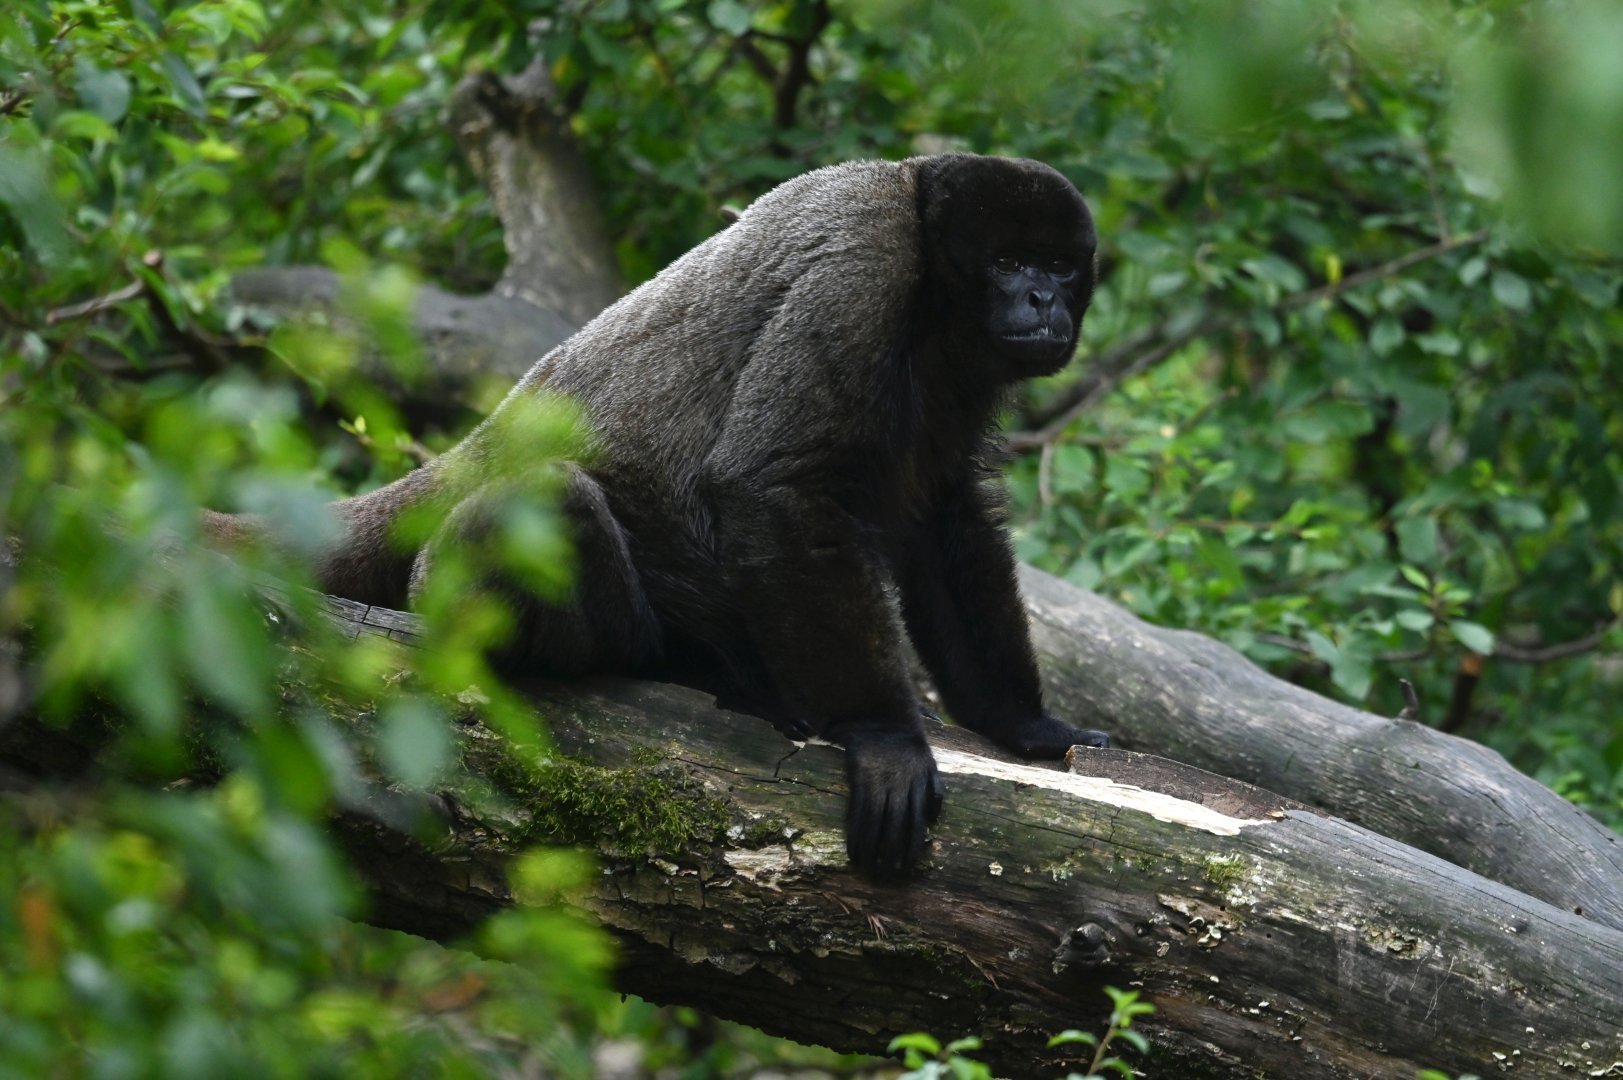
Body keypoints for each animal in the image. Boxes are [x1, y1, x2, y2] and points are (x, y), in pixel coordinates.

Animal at [208, 152, 1111, 876]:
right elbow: (771, 483)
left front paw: (1024, 724)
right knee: (538, 506)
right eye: (1008, 261)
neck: (933, 281)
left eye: (1059, 266)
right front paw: (882, 735)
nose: (1041, 299)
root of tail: (481, 442)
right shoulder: (865, 269)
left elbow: (946, 517)